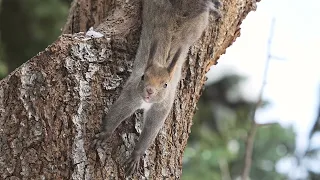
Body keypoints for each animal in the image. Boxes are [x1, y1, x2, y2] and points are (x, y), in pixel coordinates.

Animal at [94, 0, 221, 177]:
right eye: (143, 77)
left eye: (165, 84)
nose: (149, 91)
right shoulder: (132, 94)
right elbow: (117, 113)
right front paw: (104, 134)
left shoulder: (161, 107)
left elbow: (151, 129)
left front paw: (136, 155)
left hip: (198, 27)